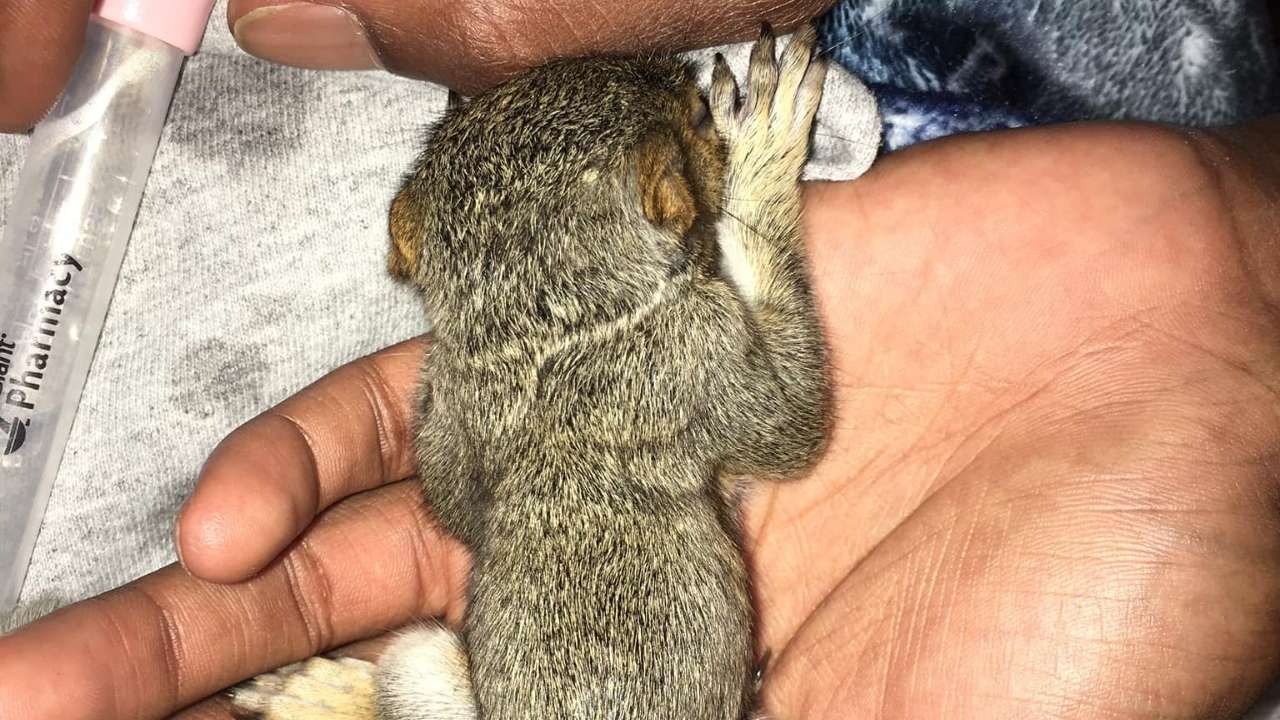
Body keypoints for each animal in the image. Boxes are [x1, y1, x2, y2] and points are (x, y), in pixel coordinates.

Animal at [232, 24, 831, 720]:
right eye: (699, 116)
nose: (681, 71)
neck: (539, 323)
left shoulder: (457, 411)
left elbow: (452, 503)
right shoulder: (704, 352)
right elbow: (796, 426)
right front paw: (765, 148)